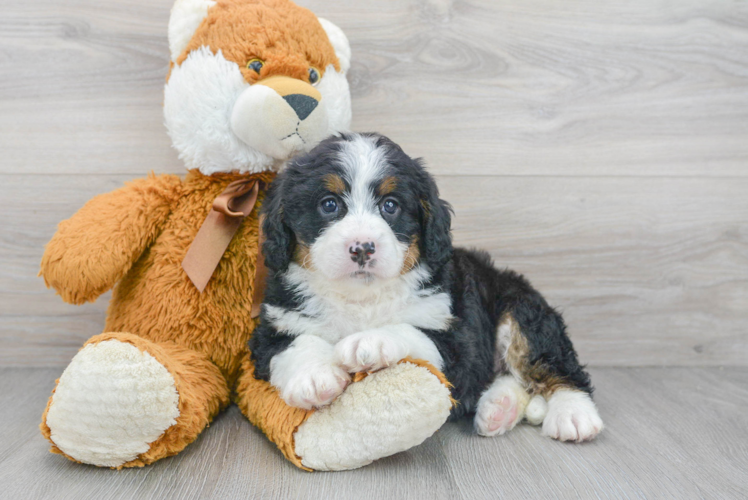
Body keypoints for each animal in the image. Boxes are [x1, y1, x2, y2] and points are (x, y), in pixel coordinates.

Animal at [250, 133, 600, 442]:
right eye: (329, 204)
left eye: (390, 206)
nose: (362, 248)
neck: (361, 298)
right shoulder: (275, 325)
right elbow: (295, 344)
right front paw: (314, 376)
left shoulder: (453, 339)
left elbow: (409, 330)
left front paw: (370, 341)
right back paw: (500, 408)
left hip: (522, 310)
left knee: (553, 364)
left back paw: (574, 414)